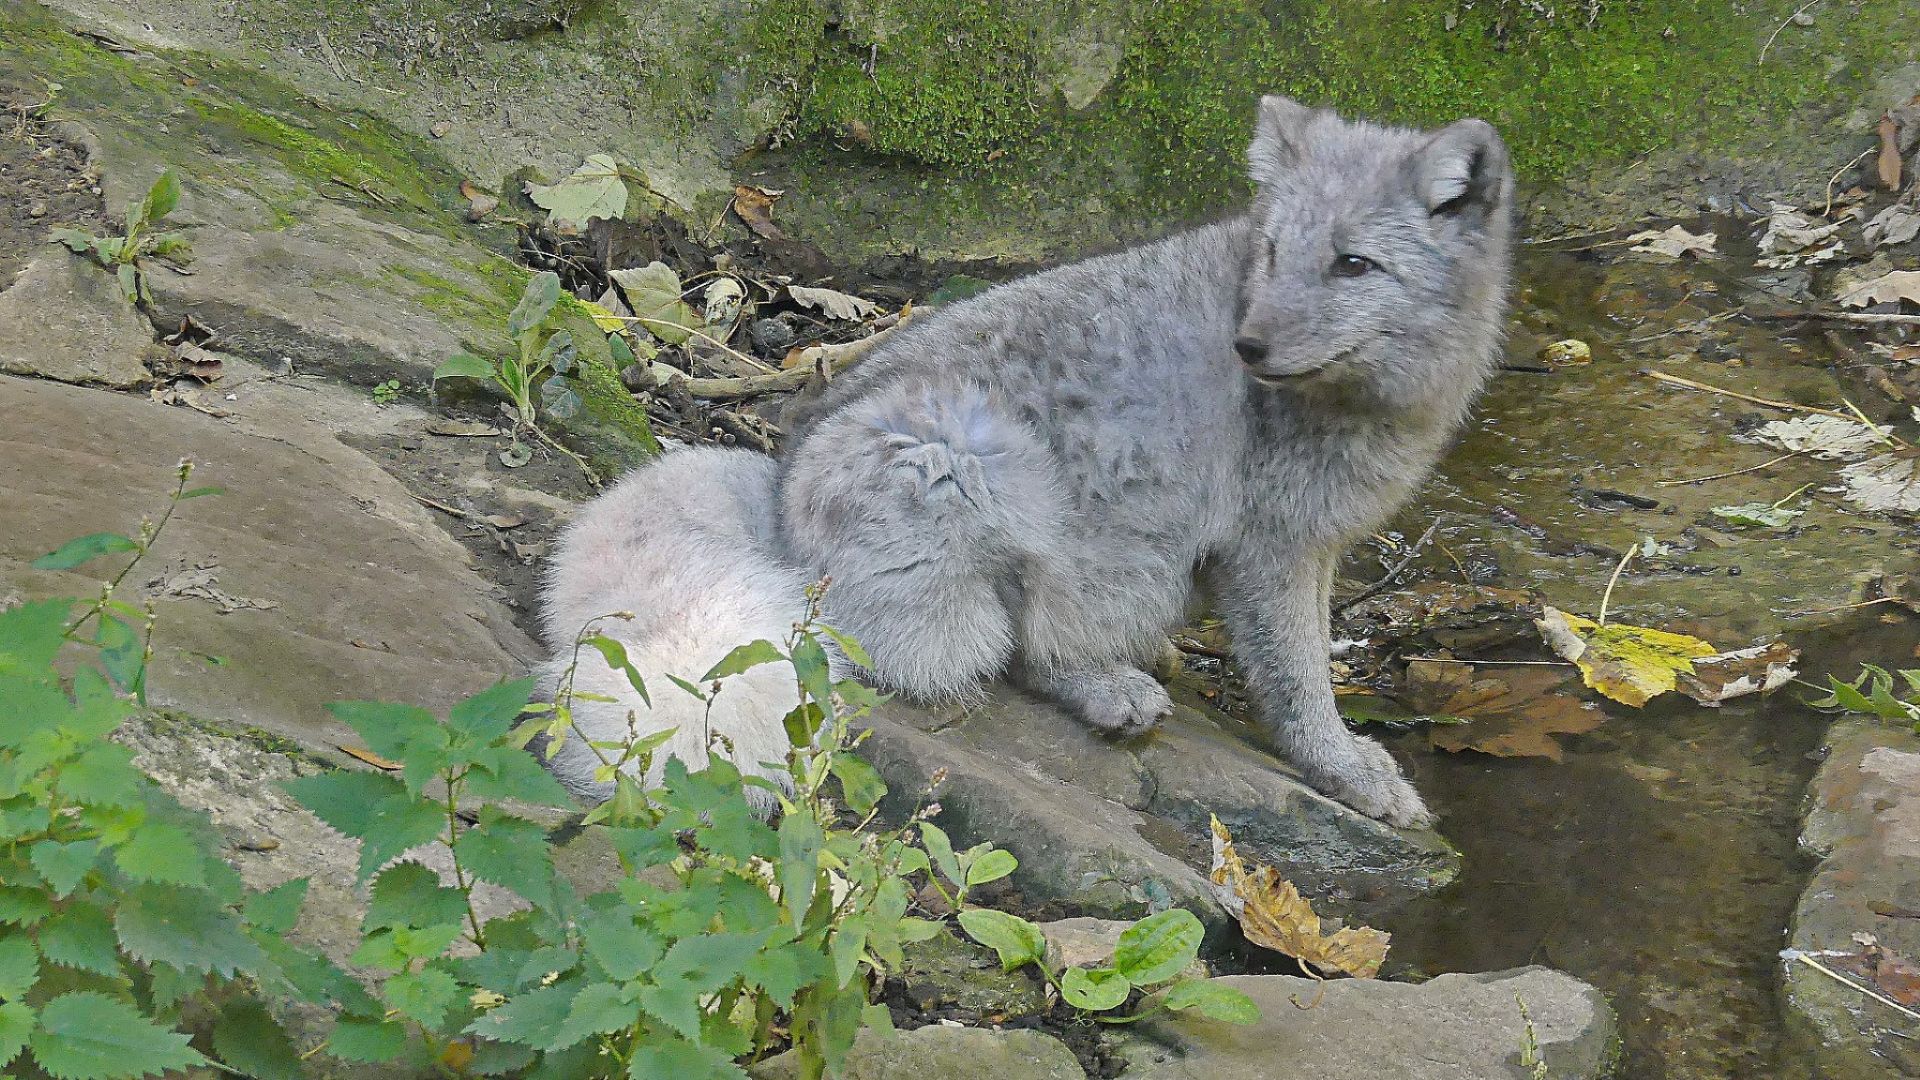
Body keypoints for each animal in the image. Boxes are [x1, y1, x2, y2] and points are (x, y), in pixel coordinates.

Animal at [537, 98, 1512, 822]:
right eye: (1272, 252)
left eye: (1355, 264)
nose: (1250, 346)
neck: (1372, 403)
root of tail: (773, 495)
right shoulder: (1274, 549)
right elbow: (1301, 680)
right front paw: (1345, 768)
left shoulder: (1313, 548)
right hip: (994, 467)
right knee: (1006, 651)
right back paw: (1111, 687)